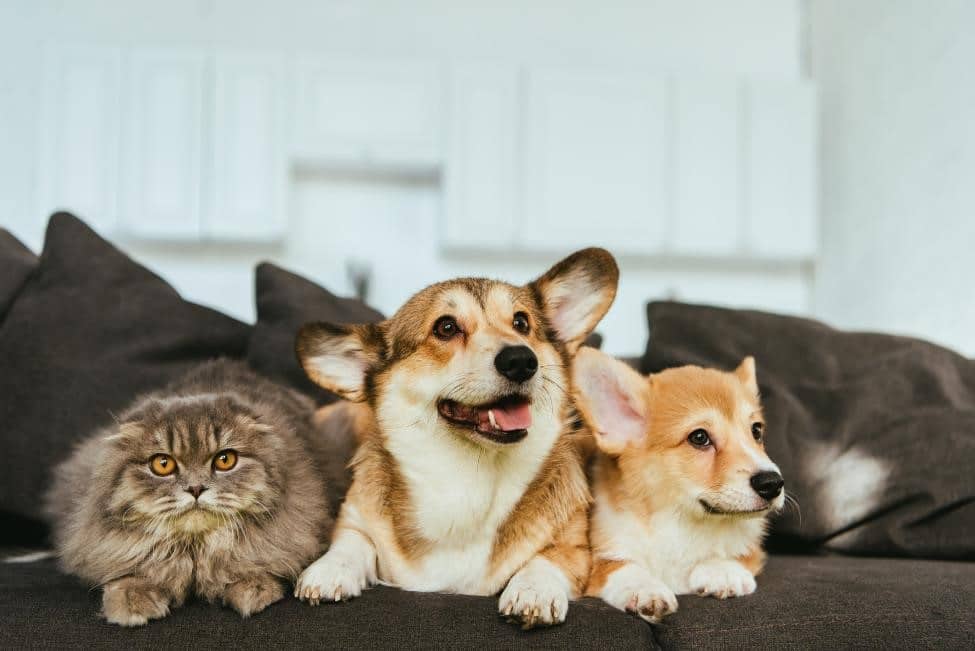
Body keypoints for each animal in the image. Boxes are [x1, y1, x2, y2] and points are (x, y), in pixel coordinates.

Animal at [44, 360, 336, 628]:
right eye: (163, 464)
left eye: (225, 460)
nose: (196, 488)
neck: (194, 551)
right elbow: (128, 571)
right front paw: (131, 602)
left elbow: (254, 560)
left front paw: (252, 588)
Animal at [294, 248, 620, 628]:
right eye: (446, 327)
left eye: (522, 323)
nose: (521, 360)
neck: (468, 479)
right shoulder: (354, 518)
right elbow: (351, 542)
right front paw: (329, 570)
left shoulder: (575, 547)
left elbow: (547, 560)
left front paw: (533, 591)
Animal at [572, 348, 784, 624]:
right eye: (699, 437)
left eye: (756, 431)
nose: (773, 483)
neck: (680, 522)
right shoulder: (596, 562)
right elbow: (620, 565)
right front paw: (645, 589)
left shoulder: (752, 550)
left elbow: (731, 553)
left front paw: (722, 570)